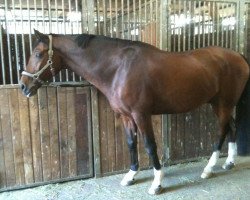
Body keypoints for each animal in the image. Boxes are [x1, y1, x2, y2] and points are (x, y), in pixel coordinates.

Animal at [20, 30, 250, 195]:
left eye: (38, 54)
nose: (23, 86)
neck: (119, 68)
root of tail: (238, 55)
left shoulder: (141, 115)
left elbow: (149, 145)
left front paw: (157, 183)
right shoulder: (126, 116)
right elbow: (131, 143)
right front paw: (131, 175)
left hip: (224, 103)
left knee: (222, 130)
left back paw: (209, 169)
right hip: (220, 103)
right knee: (231, 126)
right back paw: (228, 162)